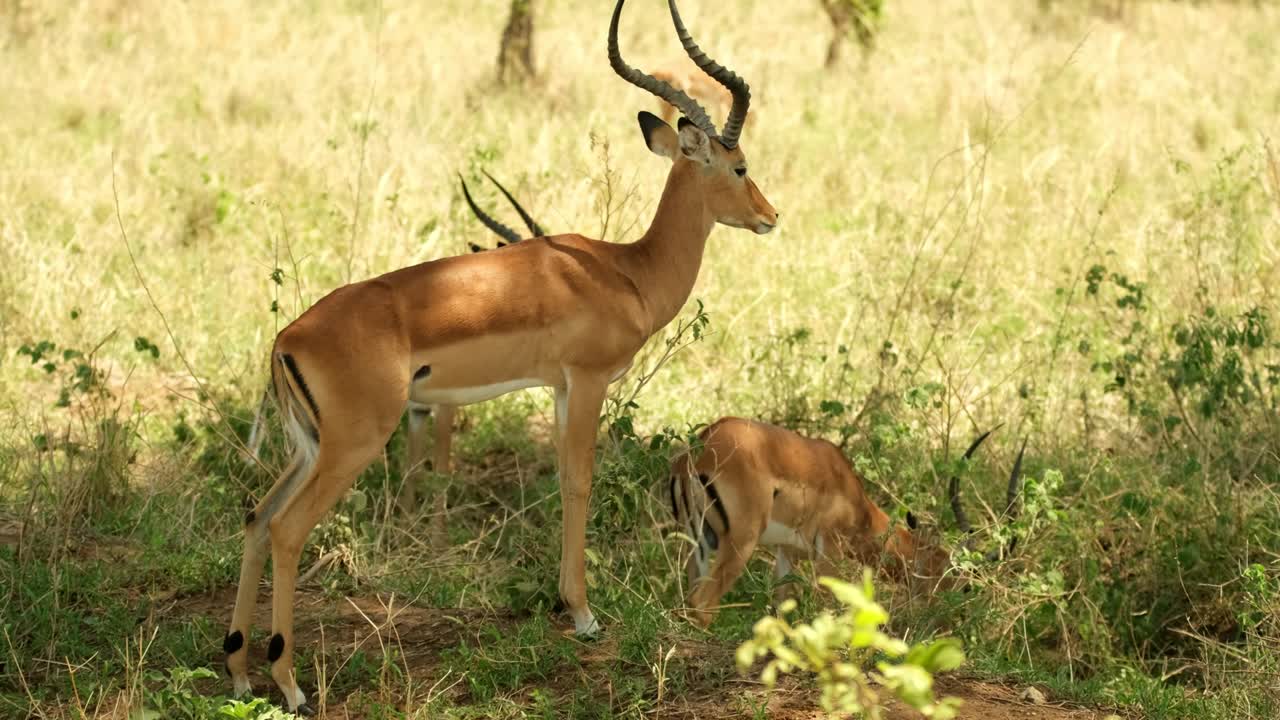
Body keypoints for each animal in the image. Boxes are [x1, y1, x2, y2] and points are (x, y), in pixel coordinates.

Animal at [221, 0, 776, 713]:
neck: (625, 272)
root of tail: (287, 339)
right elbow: (579, 481)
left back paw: (239, 671)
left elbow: (564, 480)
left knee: (256, 518)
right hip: (353, 445)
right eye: (739, 166)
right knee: (288, 530)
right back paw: (290, 685)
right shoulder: (588, 381)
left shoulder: (561, 387)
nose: (769, 216)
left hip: (308, 447)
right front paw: (586, 616)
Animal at [669, 418, 1021, 627]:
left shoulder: (787, 551)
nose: (954, 621)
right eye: (963, 584)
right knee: (703, 604)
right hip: (740, 543)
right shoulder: (830, 553)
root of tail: (700, 449)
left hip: (699, 543)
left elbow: (782, 605)